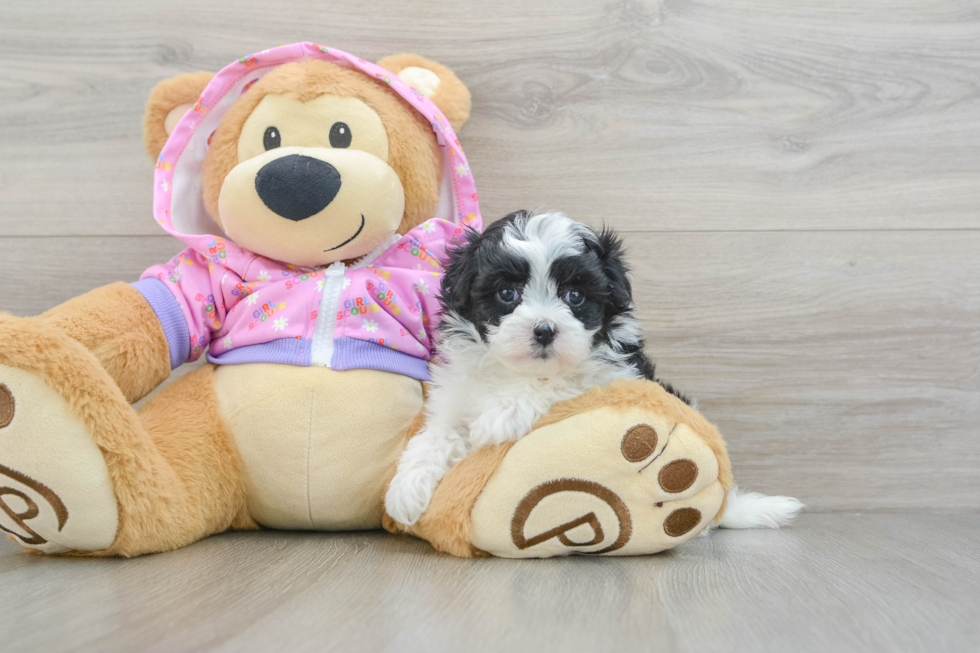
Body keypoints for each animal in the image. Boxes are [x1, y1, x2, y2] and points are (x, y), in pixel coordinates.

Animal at [382, 209, 688, 524]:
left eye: (575, 295)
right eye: (507, 293)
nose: (544, 330)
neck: (517, 372)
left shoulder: (615, 375)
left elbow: (566, 380)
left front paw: (502, 416)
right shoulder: (457, 394)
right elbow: (438, 432)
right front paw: (407, 487)